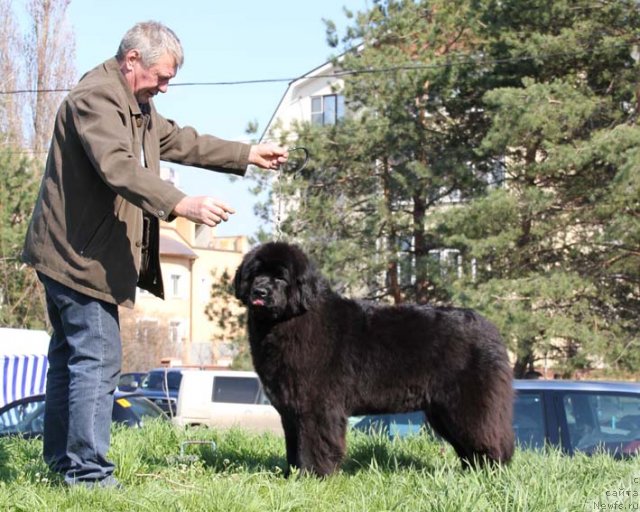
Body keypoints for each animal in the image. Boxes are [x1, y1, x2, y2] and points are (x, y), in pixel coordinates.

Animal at [235, 242, 516, 474]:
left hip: (468, 405)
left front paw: (313, 475)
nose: (260, 291)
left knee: (487, 436)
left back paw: (490, 473)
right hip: (442, 410)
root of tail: (491, 329)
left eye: (280, 277)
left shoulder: (317, 406)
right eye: (254, 274)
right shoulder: (292, 408)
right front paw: (291, 475)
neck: (286, 322)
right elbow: (294, 444)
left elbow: (314, 443)